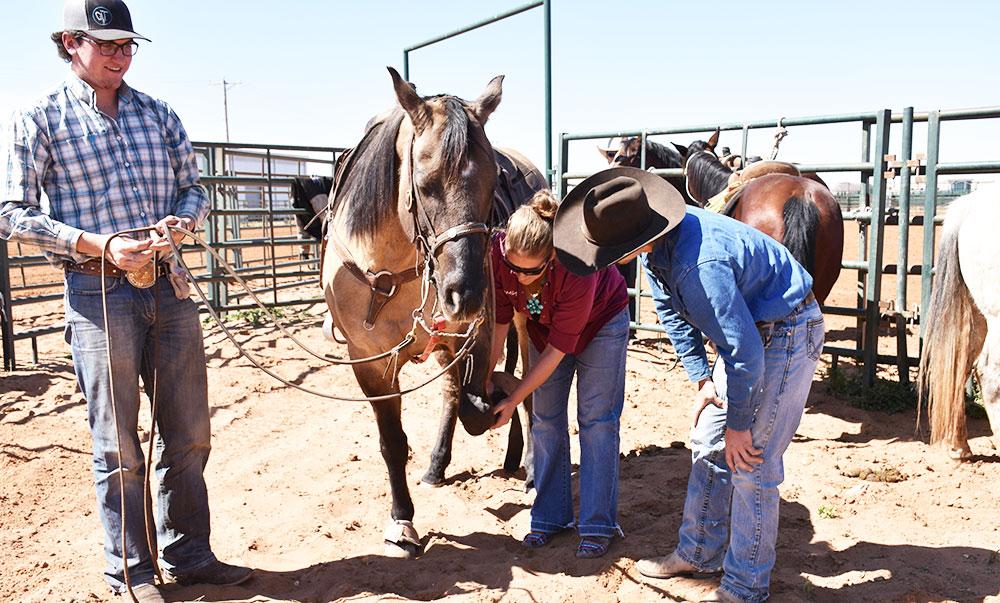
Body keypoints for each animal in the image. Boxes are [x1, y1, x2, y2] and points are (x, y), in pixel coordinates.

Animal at [302, 68, 548, 560]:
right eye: (426, 182)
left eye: (492, 181)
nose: (466, 294)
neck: (391, 268)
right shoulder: (369, 361)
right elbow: (394, 442)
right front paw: (402, 520)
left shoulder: (471, 336)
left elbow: (484, 400)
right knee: (454, 395)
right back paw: (439, 465)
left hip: (518, 321)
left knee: (526, 390)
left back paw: (529, 465)